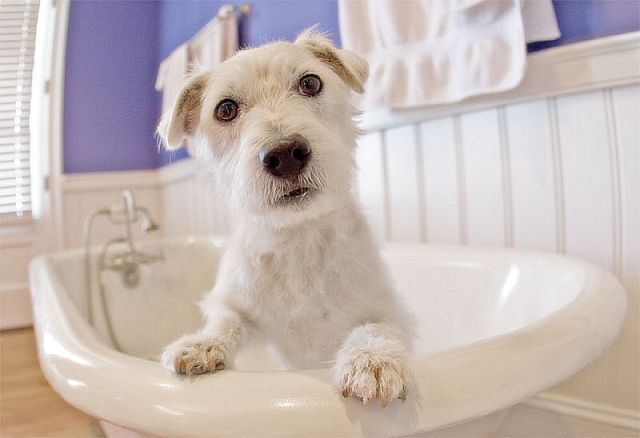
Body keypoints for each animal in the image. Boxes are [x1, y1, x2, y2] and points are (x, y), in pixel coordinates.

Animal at [158, 30, 412, 408]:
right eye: (226, 109)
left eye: (310, 83)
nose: (285, 154)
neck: (297, 239)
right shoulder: (240, 306)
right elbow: (226, 321)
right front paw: (201, 344)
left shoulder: (386, 309)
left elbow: (375, 327)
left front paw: (372, 358)